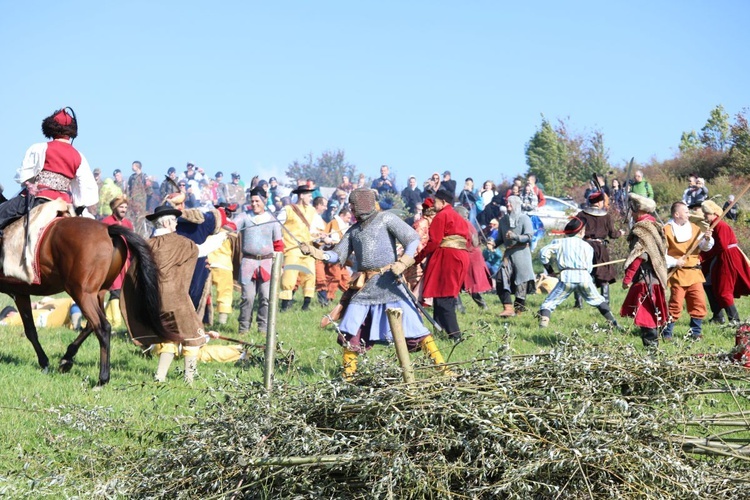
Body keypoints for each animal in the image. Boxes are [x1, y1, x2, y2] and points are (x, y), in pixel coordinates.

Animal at [0, 217, 164, 384]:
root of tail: (107, 229)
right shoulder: (21, 293)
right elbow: (31, 330)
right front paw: (46, 362)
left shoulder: (19, 293)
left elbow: (30, 330)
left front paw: (44, 362)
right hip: (97, 294)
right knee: (92, 324)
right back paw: (67, 359)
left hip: (81, 293)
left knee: (102, 327)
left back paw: (102, 378)